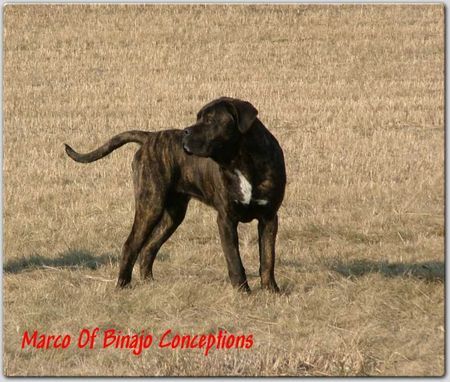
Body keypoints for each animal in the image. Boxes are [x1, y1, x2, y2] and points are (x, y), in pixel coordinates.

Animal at [65, 97, 286, 292]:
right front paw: (243, 291)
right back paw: (123, 285)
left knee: (148, 248)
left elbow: (268, 258)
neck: (242, 161)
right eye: (198, 117)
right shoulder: (226, 219)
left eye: (209, 120)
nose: (186, 131)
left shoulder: (269, 218)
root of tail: (149, 137)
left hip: (173, 214)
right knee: (131, 245)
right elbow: (234, 260)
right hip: (150, 205)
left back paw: (149, 282)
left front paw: (271, 290)